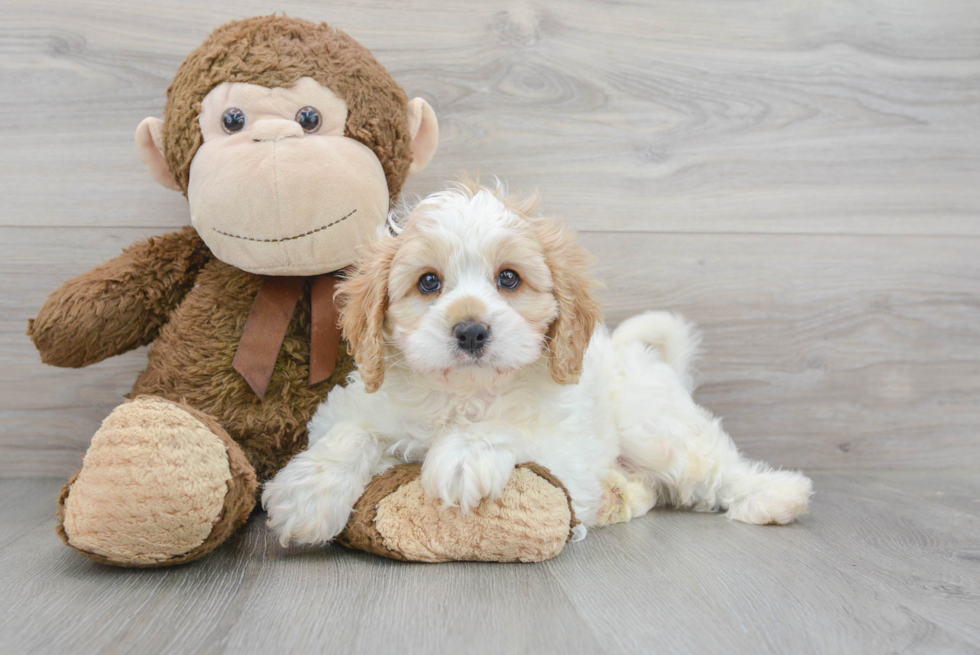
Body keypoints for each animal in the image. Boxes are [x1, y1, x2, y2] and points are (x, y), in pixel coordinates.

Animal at [262, 178, 812, 544]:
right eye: (428, 282)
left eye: (509, 279)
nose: (471, 330)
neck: (462, 395)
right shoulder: (354, 406)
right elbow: (353, 434)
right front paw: (307, 493)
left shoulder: (567, 449)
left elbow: (510, 429)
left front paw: (464, 455)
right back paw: (617, 498)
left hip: (653, 428)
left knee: (712, 467)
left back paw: (774, 494)